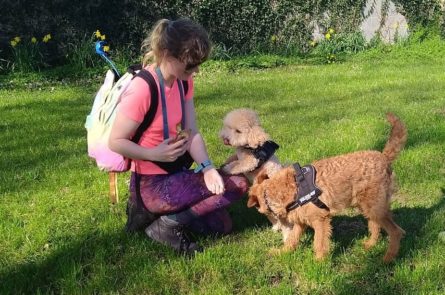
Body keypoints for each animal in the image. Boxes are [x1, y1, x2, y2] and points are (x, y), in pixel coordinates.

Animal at [246, 113, 406, 264]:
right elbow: (292, 240)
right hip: (368, 207)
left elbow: (319, 243)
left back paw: (388, 258)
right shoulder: (300, 222)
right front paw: (281, 252)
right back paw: (370, 244)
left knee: (396, 231)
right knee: (375, 226)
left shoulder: (320, 220)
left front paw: (319, 262)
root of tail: (384, 157)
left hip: (374, 208)